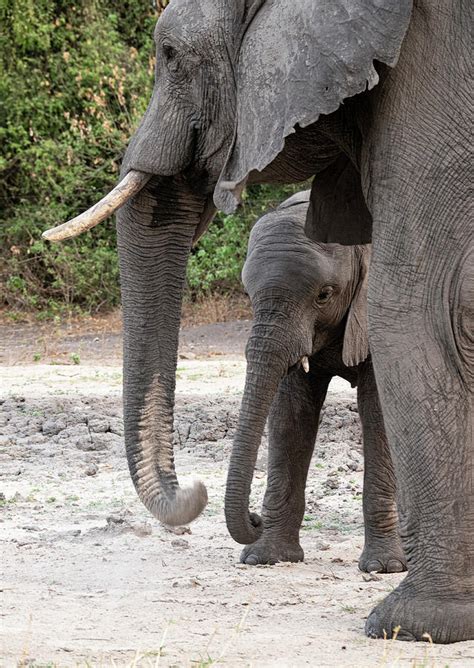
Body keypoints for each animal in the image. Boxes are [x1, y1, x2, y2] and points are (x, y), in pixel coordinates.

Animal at [226, 189, 408, 576]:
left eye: (324, 294)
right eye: (248, 295)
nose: (253, 518)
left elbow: (380, 412)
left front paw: (383, 567)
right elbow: (290, 415)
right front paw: (265, 557)